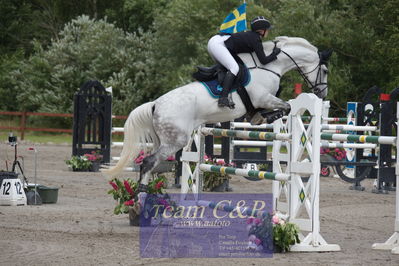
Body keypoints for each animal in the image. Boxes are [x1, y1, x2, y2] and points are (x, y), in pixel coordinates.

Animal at [103, 36, 332, 190]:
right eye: (325, 71)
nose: (322, 93)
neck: (269, 66)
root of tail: (155, 104)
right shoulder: (264, 98)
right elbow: (286, 107)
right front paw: (266, 117)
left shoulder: (263, 100)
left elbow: (278, 108)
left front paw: (258, 117)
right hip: (176, 139)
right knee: (149, 162)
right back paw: (141, 194)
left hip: (166, 138)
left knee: (152, 164)